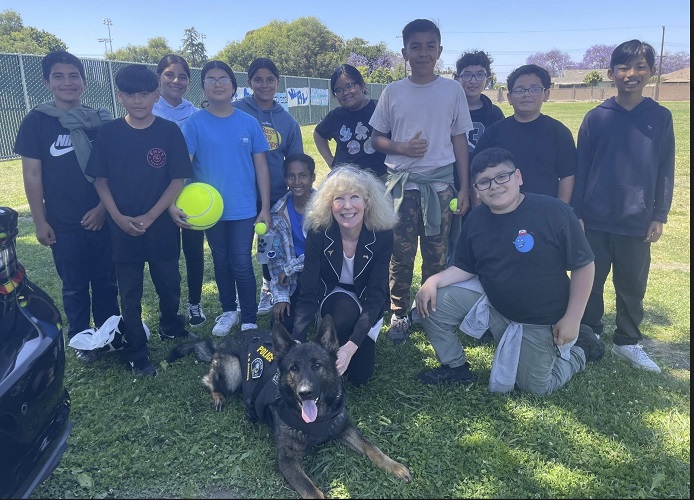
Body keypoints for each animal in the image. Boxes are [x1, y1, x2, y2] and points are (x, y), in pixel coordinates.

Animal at [167, 316, 410, 500]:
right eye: (293, 368)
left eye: (317, 365)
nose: (305, 392)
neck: (318, 420)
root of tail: (225, 341)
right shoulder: (287, 461)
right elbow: (313, 491)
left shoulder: (344, 428)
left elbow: (371, 446)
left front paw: (394, 466)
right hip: (232, 371)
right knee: (209, 379)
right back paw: (218, 396)